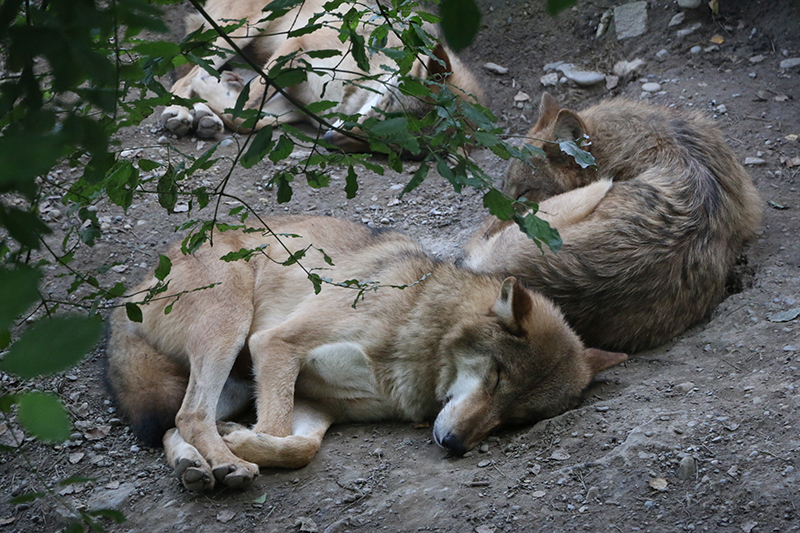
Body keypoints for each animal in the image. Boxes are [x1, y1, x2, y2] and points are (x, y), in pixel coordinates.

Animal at [106, 216, 626, 492]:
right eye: (497, 378)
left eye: (516, 419)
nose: (454, 445)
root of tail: (132, 289)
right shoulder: (275, 345)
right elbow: (277, 429)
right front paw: (240, 446)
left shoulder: (320, 404)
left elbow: (299, 448)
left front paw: (242, 441)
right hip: (230, 329)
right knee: (190, 415)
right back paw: (223, 463)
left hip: (232, 380)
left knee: (176, 422)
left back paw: (196, 466)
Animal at [160, 0, 482, 151]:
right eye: (387, 110)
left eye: (393, 146)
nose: (329, 138)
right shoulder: (295, 46)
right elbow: (245, 110)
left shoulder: (298, 105)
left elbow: (250, 119)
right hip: (240, 30)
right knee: (185, 74)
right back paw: (181, 113)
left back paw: (204, 115)